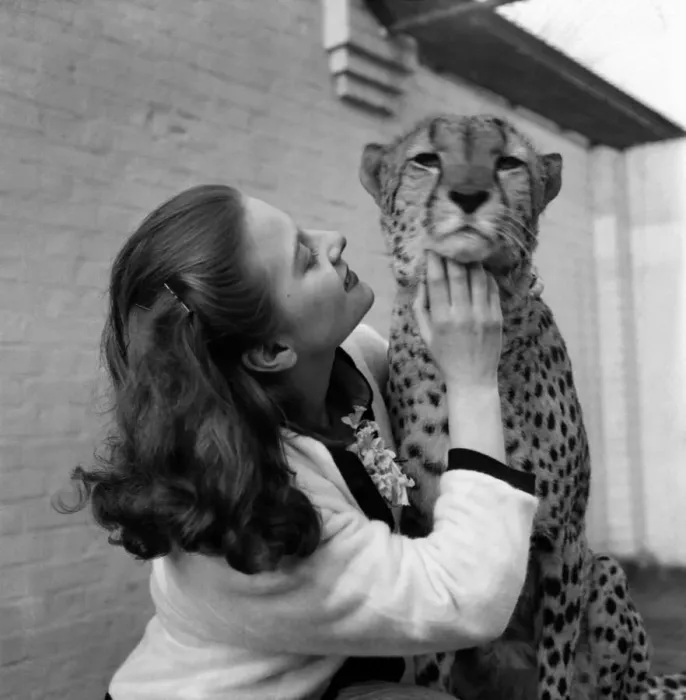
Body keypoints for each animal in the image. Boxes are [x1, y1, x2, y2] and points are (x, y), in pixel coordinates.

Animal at [358, 113, 686, 700]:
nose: (469, 195)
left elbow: (555, 670)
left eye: (508, 162)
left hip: (606, 574)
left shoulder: (564, 539)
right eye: (426, 159)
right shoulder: (430, 539)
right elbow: (433, 664)